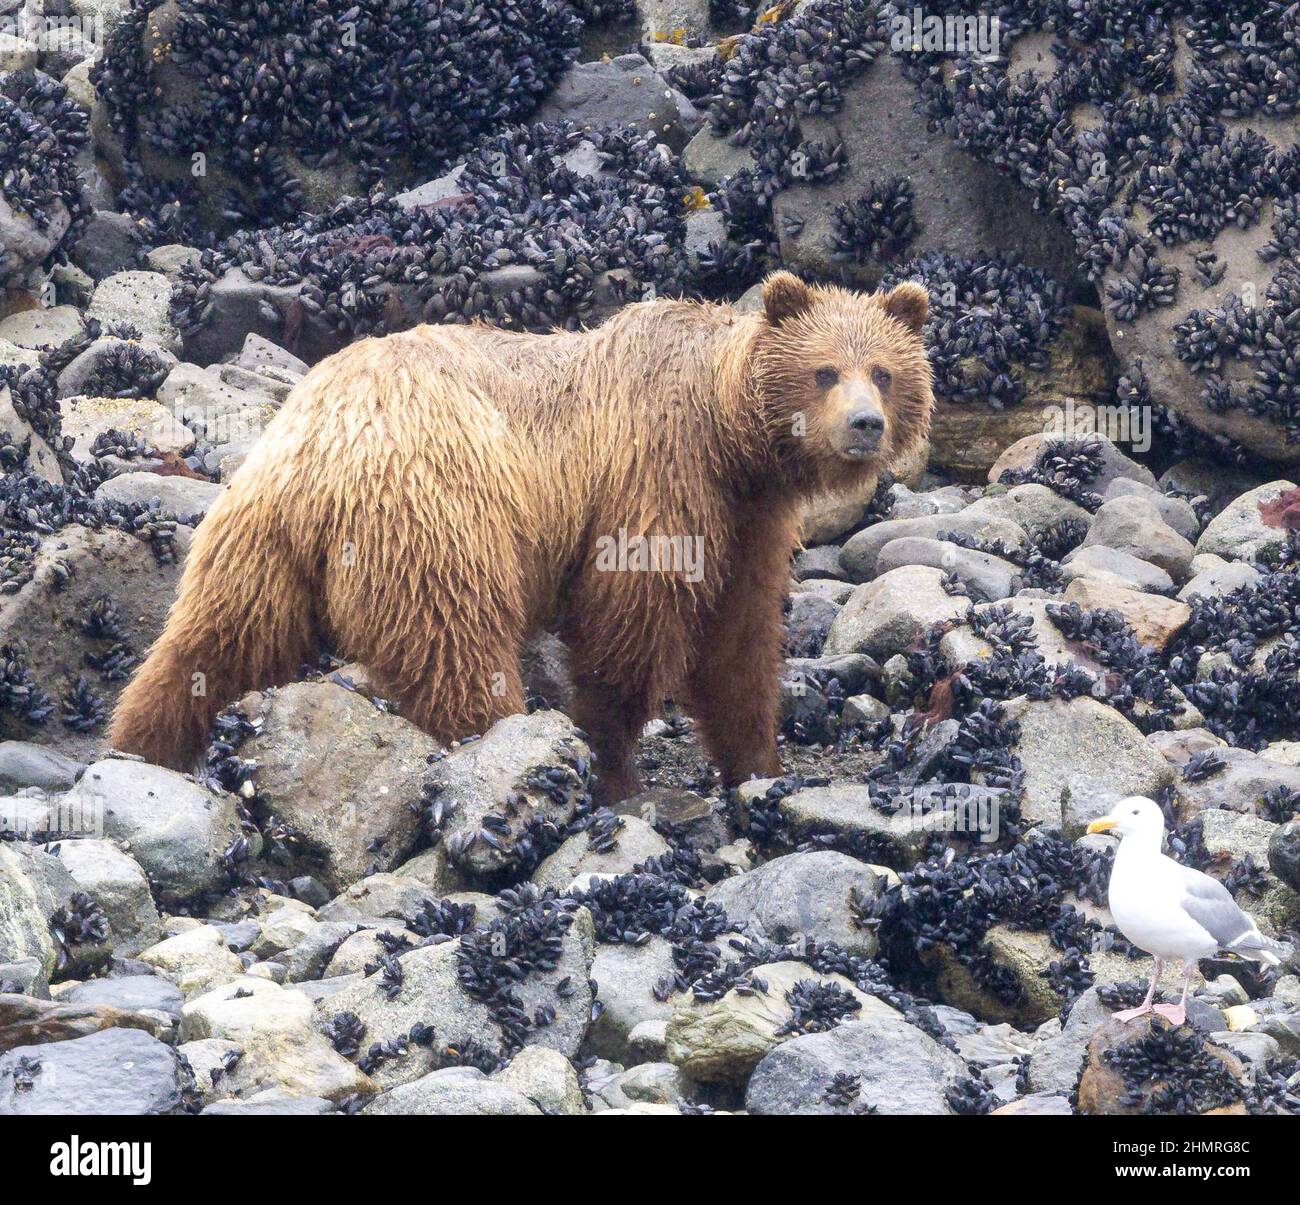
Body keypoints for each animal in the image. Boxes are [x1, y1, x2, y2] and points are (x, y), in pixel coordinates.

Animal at [109, 271, 933, 800]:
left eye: (884, 371)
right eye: (824, 371)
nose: (865, 425)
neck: (730, 436)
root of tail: (319, 456)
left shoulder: (748, 521)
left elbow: (741, 642)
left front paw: (759, 765)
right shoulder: (658, 475)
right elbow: (631, 622)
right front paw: (615, 765)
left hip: (253, 541)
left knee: (213, 642)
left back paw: (142, 743)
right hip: (437, 517)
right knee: (457, 644)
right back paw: (510, 749)